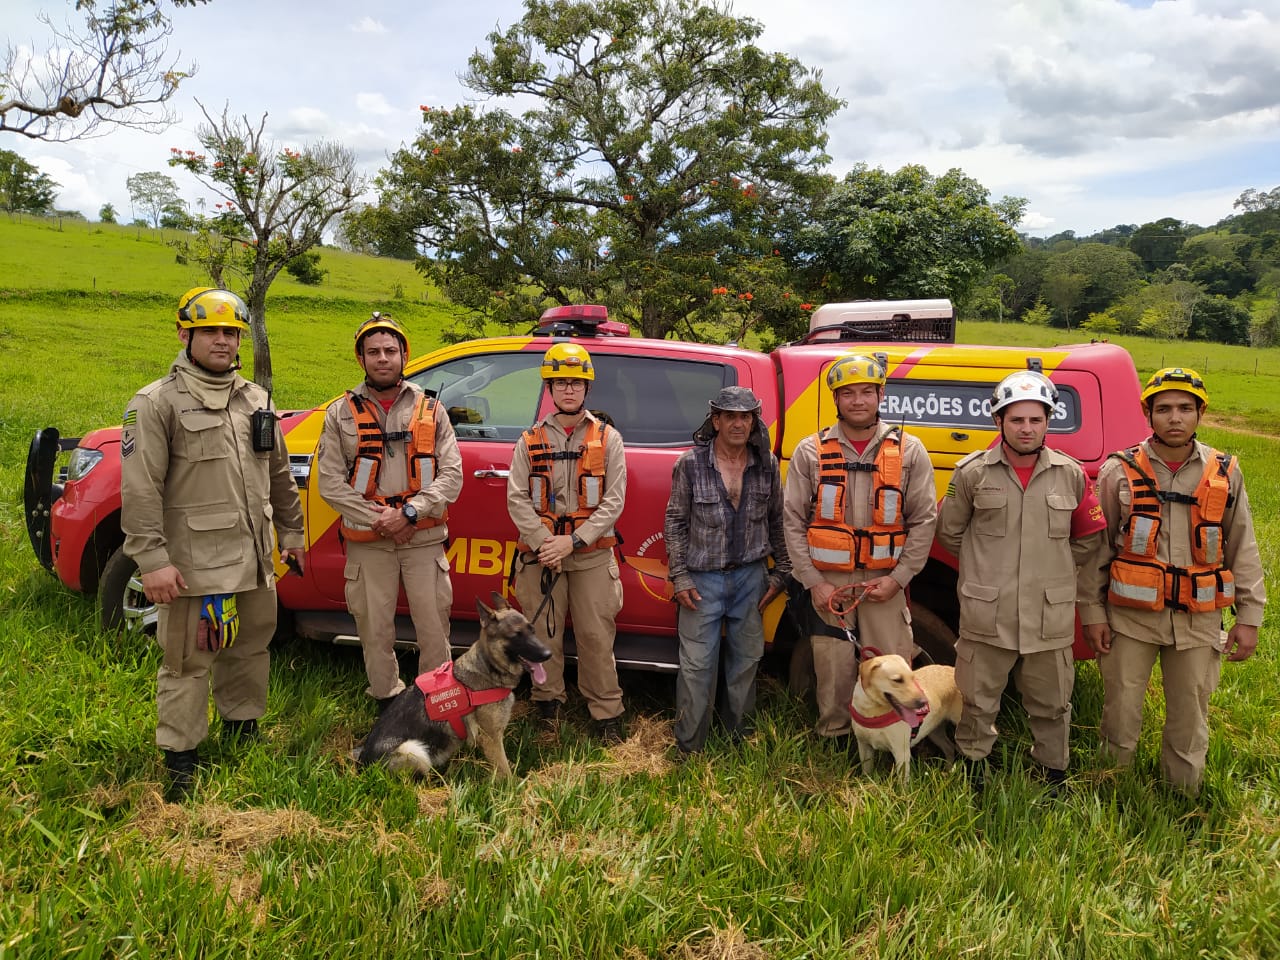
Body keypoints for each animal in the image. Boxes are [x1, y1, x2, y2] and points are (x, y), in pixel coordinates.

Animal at [355, 593, 550, 783]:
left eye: (532, 630)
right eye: (516, 635)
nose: (548, 654)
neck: (489, 667)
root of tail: (362, 765)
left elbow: (505, 763)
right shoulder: (491, 738)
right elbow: (505, 770)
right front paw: (514, 787)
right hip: (414, 749)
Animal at [849, 655, 962, 783]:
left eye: (913, 678)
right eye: (897, 680)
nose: (924, 702)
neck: (872, 711)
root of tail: (953, 669)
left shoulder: (901, 752)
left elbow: (902, 784)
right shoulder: (864, 746)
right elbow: (866, 773)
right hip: (935, 732)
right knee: (950, 747)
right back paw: (948, 771)